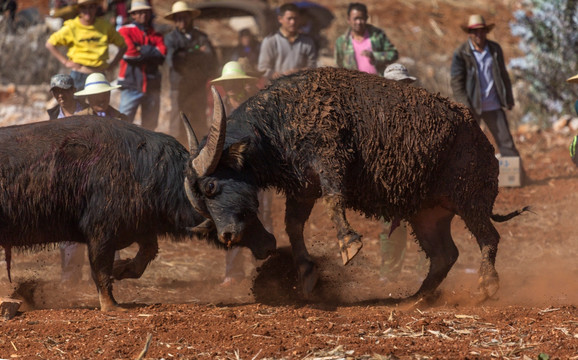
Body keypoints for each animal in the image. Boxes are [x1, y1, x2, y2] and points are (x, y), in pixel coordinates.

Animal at [0, 116, 274, 312]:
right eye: (211, 187)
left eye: (252, 203)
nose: (269, 242)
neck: (144, 169)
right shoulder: (100, 233)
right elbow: (101, 267)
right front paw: (111, 306)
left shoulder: (139, 226)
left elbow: (147, 252)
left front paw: (121, 268)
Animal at [184, 67, 528, 300]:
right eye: (201, 199)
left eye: (212, 187)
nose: (227, 236)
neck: (280, 120)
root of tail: (481, 138)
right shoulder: (302, 189)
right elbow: (293, 226)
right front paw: (307, 273)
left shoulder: (329, 160)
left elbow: (334, 199)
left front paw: (348, 245)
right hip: (427, 215)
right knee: (445, 255)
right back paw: (415, 300)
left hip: (470, 201)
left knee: (489, 238)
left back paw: (486, 285)